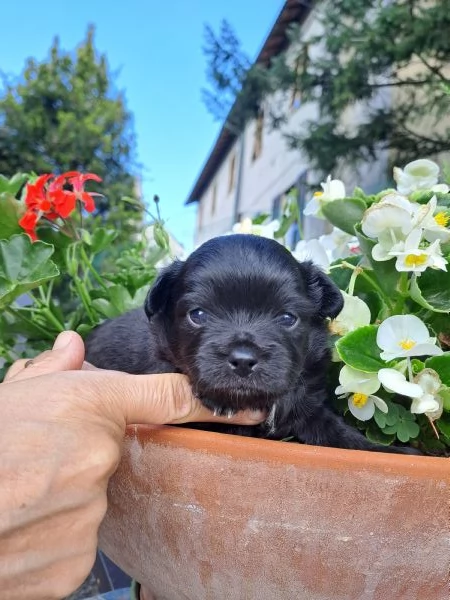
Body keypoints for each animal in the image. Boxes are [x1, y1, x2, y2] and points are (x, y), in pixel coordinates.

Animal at [87, 234, 418, 454]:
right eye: (198, 314)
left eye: (287, 318)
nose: (244, 359)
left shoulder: (308, 409)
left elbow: (341, 435)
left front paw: (395, 452)